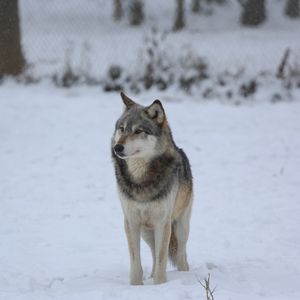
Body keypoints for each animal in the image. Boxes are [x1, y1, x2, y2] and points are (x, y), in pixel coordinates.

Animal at [111, 92, 193, 284]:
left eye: (138, 131)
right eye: (122, 129)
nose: (117, 147)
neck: (141, 178)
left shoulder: (163, 222)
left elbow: (163, 260)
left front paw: (160, 285)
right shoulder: (131, 221)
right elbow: (136, 261)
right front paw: (136, 285)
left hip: (180, 227)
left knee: (181, 255)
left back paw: (184, 275)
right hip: (147, 232)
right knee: (154, 255)